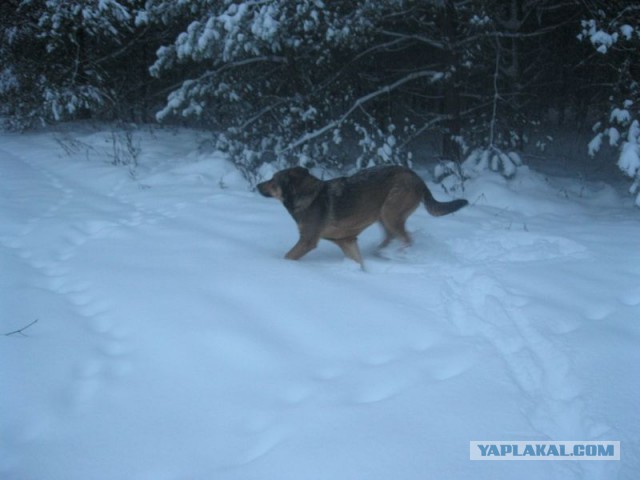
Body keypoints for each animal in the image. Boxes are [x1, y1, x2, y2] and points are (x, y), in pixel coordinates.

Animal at [258, 166, 468, 268]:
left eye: (273, 180)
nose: (257, 185)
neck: (306, 195)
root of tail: (417, 177)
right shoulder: (347, 241)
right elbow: (359, 263)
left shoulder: (307, 241)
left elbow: (288, 256)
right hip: (383, 216)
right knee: (391, 237)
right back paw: (382, 253)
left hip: (390, 212)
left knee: (407, 239)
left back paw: (397, 254)